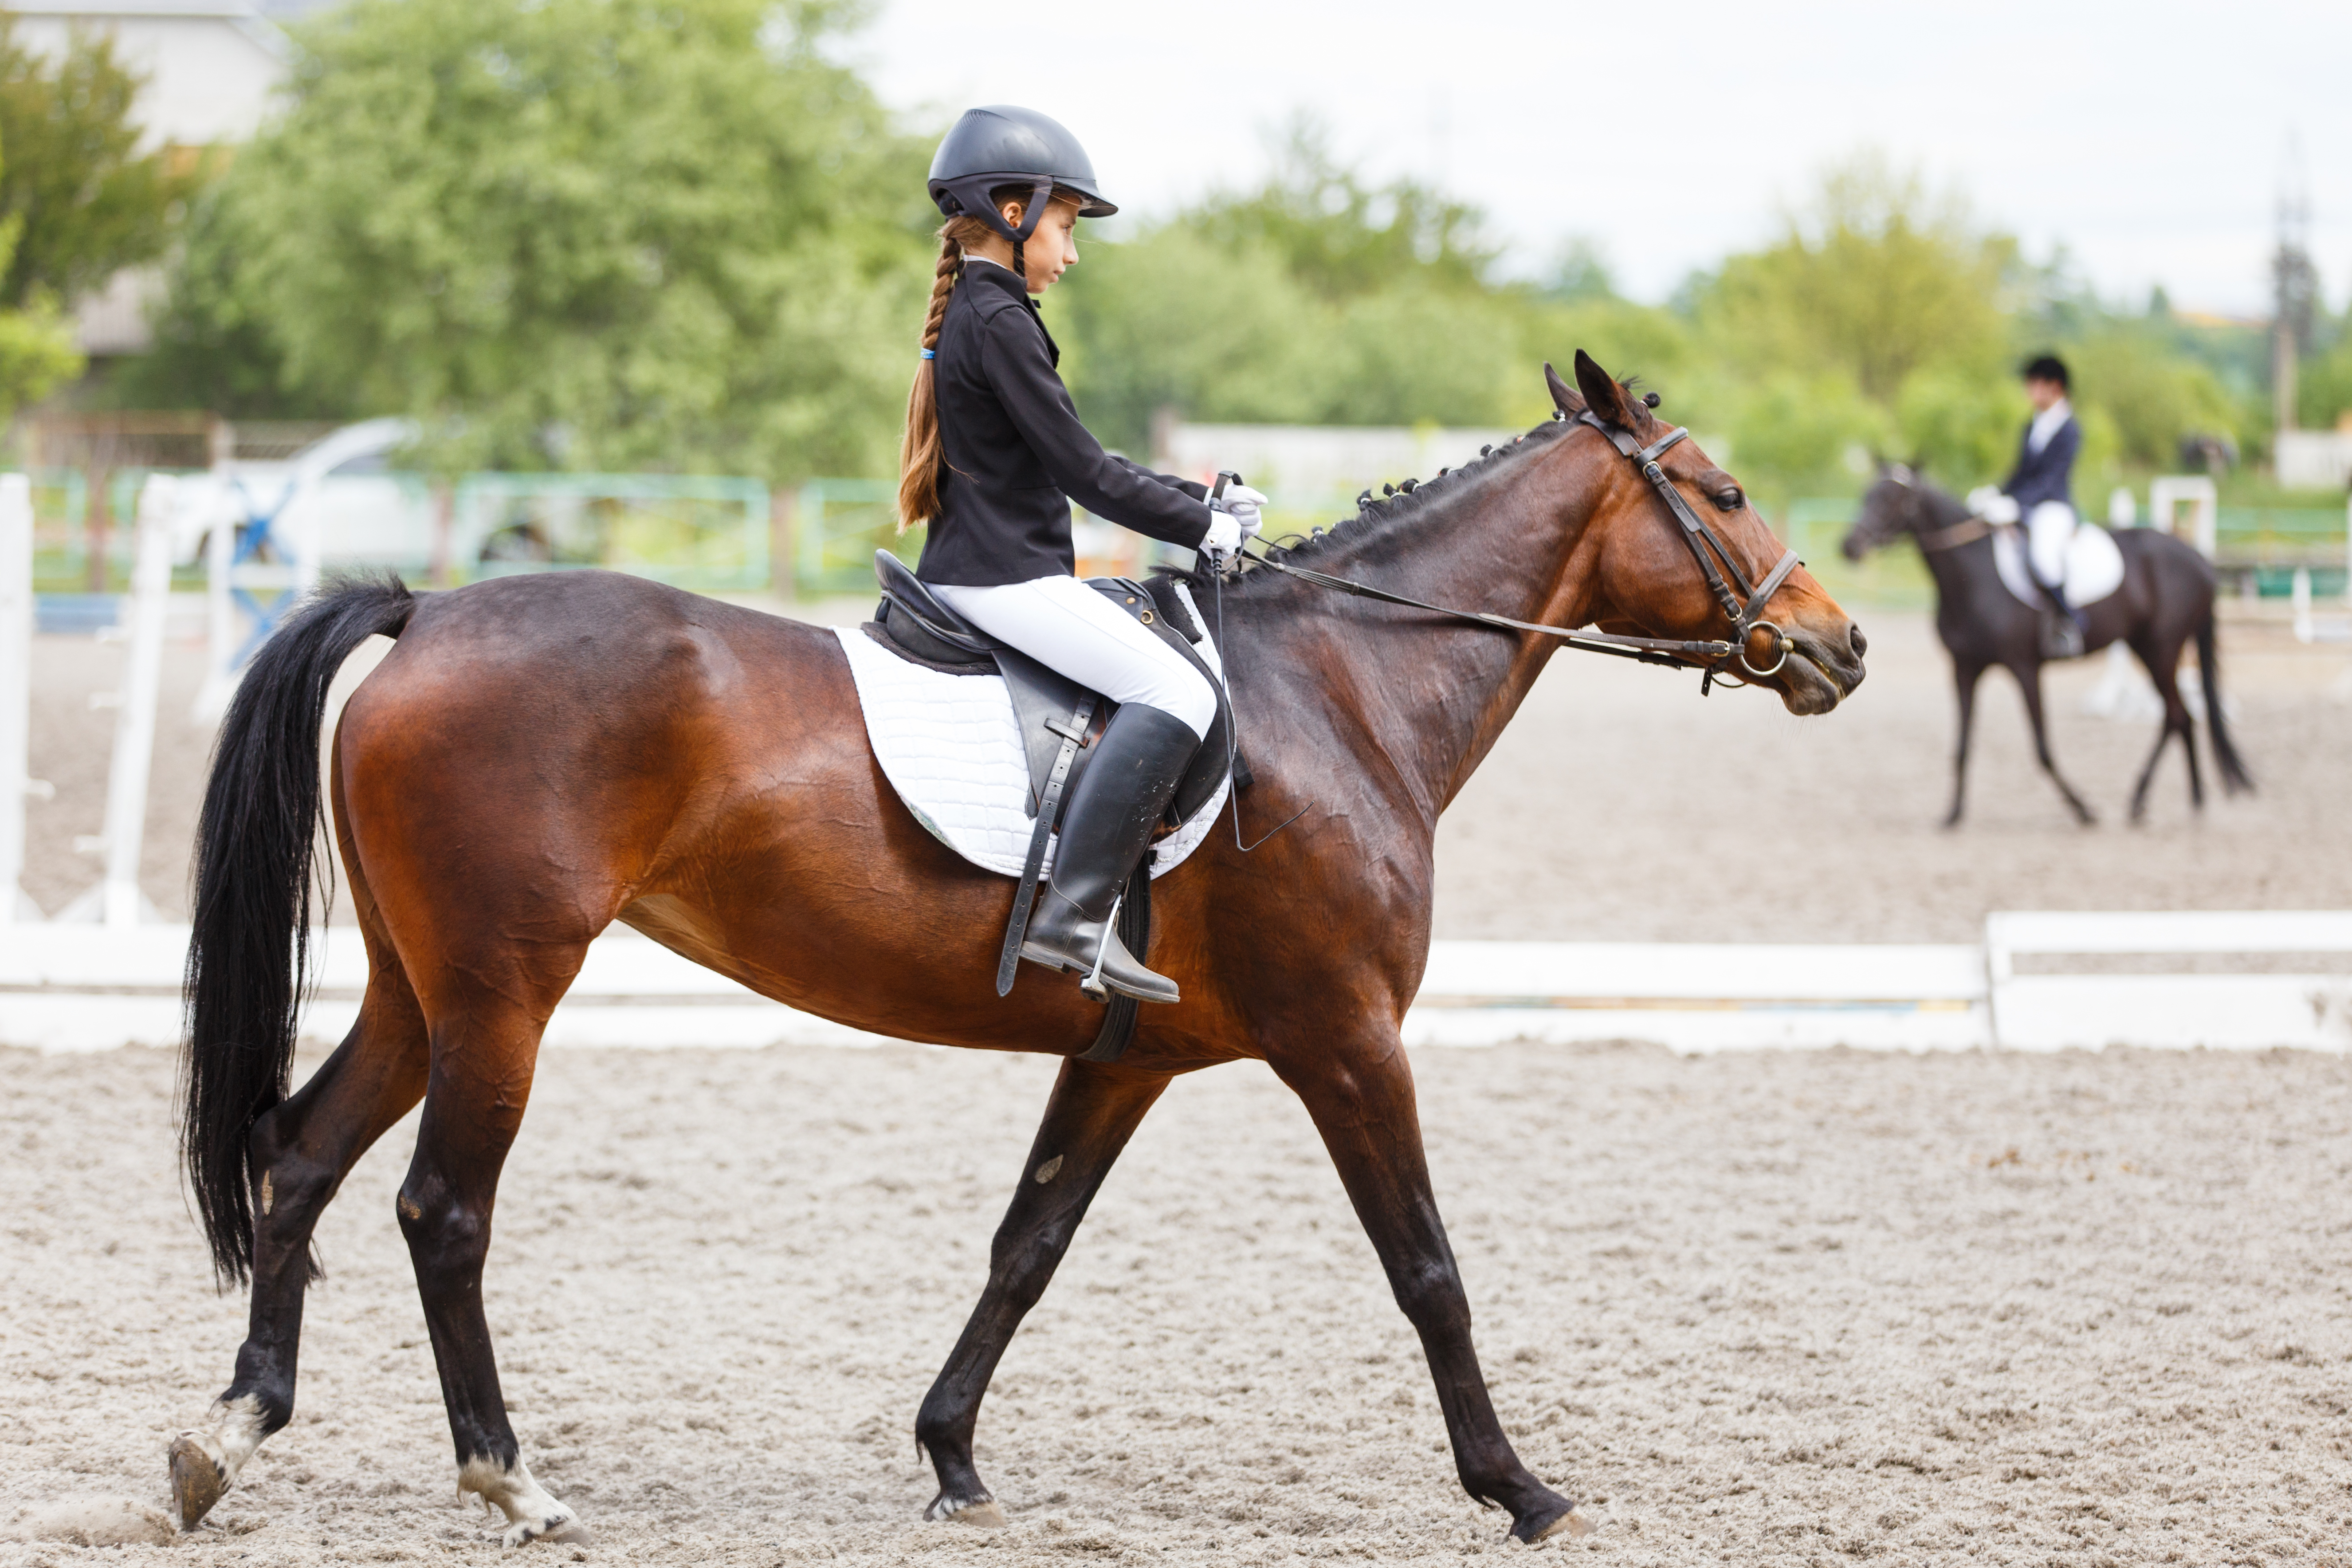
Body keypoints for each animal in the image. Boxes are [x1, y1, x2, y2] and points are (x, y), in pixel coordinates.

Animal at [168, 352, 1866, 1549]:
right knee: (440, 1208)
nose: (1840, 645)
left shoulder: (1129, 1059)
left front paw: (953, 1459)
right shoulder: (1346, 1039)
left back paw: (226, 1435)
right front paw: (1518, 1485)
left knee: (299, 1156)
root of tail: (429, 613)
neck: (1342, 686)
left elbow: (1025, 1246)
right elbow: (1427, 1266)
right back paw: (505, 1478)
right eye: (1718, 492)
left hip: (421, 988)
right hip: (505, 993)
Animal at [1842, 467, 2250, 826]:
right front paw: (1953, 814)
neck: (1972, 575)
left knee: (2177, 716)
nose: (1848, 546)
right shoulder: (1964, 669)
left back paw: (2146, 799)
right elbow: (1961, 746)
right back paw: (2192, 800)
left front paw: (2083, 810)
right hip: (2147, 647)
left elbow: (2042, 748)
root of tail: (2198, 559)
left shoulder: (2024, 667)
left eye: (1891, 499)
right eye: (1865, 494)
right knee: (2182, 718)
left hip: (2160, 649)